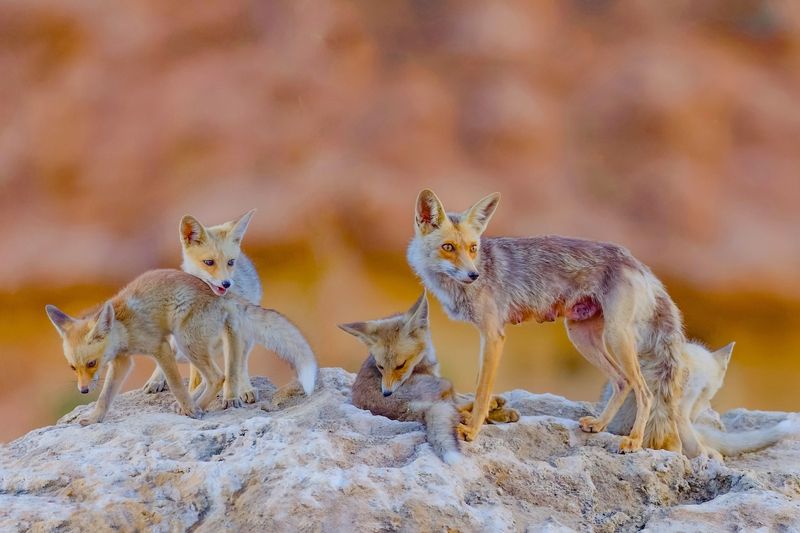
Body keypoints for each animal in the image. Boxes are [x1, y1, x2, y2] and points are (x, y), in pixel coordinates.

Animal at [45, 269, 316, 425]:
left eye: (91, 363)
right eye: (73, 368)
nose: (82, 390)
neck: (124, 328)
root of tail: (219, 293)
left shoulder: (161, 348)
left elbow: (176, 385)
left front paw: (189, 408)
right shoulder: (122, 361)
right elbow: (105, 397)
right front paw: (94, 418)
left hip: (185, 343)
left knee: (218, 377)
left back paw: (197, 407)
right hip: (190, 347)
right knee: (212, 377)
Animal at [142, 209, 264, 404]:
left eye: (230, 262)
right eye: (209, 262)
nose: (226, 283)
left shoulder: (233, 329)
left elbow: (233, 368)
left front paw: (231, 396)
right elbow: (197, 375)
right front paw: (193, 394)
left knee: (240, 363)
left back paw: (244, 388)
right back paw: (158, 380)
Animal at [341, 292, 519, 464]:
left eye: (400, 365)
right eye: (380, 366)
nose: (386, 393)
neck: (421, 362)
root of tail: (404, 410)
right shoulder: (441, 382)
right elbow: (465, 401)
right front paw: (492, 406)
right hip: (444, 383)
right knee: (457, 409)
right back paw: (495, 409)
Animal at [407, 188, 696, 454]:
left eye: (472, 248)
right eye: (448, 247)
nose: (473, 275)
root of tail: (634, 260)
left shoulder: (493, 335)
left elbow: (482, 390)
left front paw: (473, 430)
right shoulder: (486, 336)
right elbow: (479, 389)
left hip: (617, 336)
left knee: (645, 392)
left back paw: (634, 441)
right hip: (582, 337)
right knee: (622, 381)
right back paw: (599, 425)